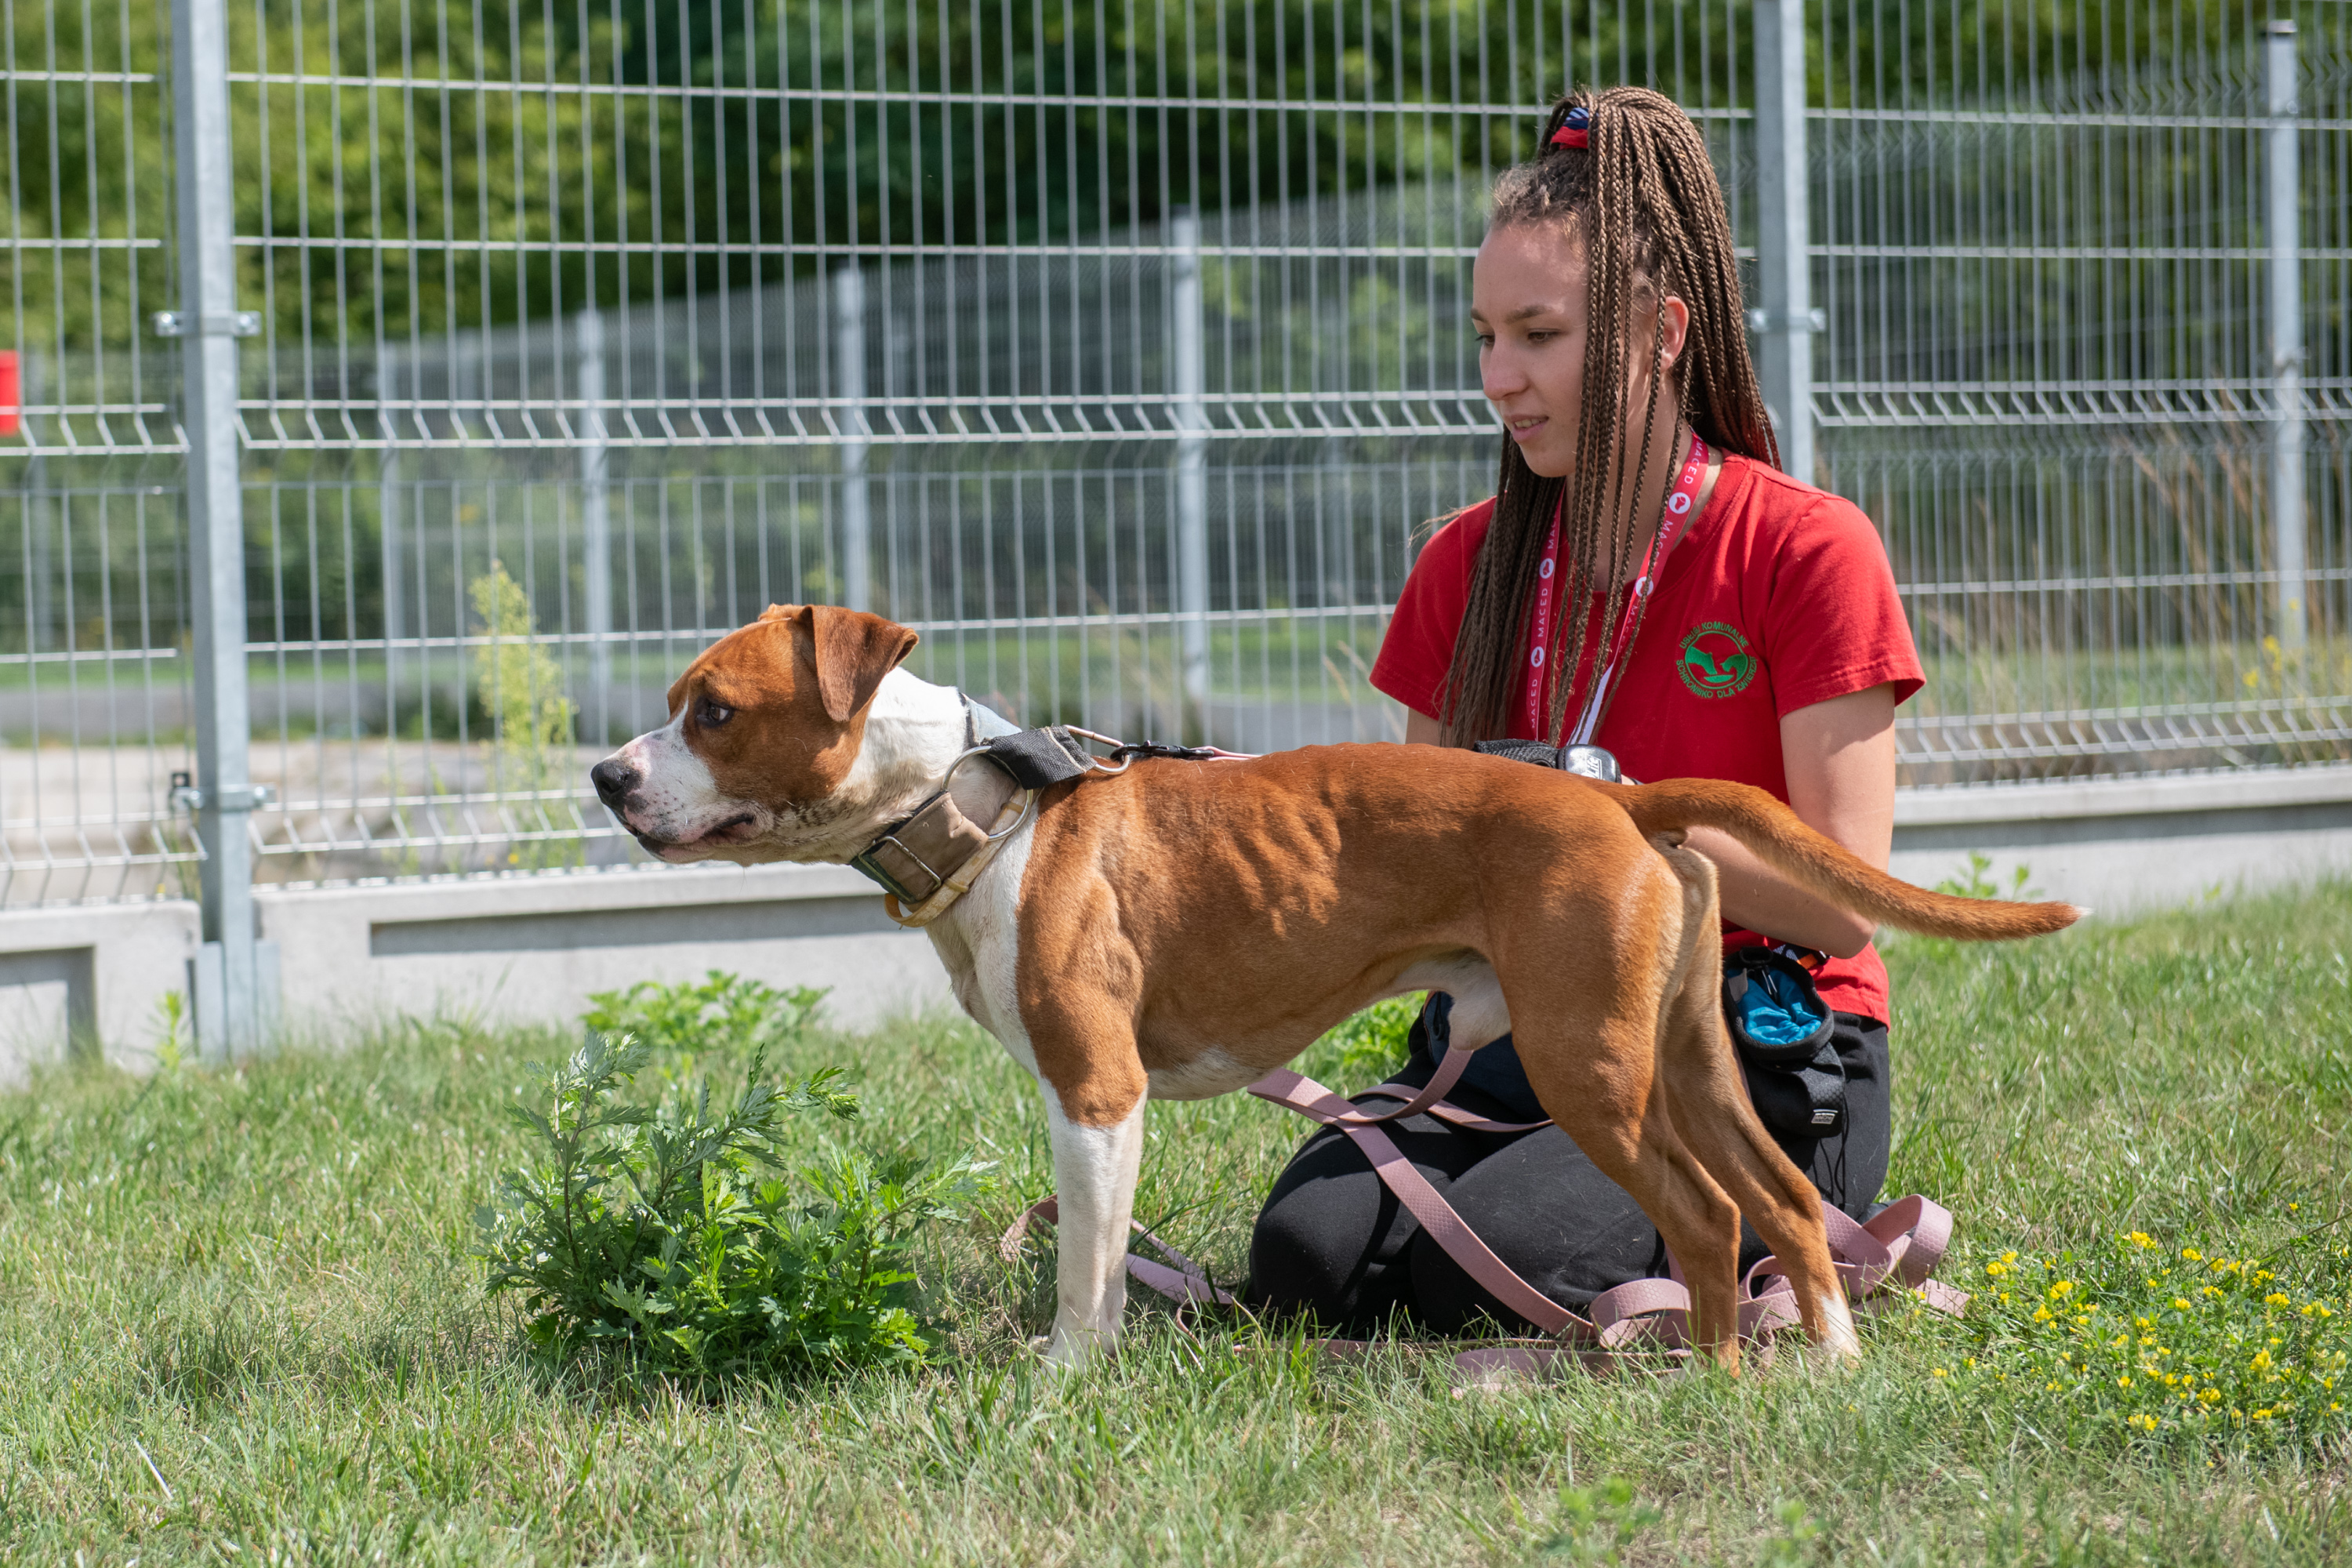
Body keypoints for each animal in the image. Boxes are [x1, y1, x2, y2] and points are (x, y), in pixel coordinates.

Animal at [588, 606, 2079, 1373]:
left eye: (712, 709)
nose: (604, 775)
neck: (981, 809)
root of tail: (1623, 802)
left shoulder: (1096, 1094)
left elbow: (1083, 1268)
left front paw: (1065, 1383)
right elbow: (1110, 1262)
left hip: (1591, 1072)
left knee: (1710, 1220)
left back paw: (1702, 1378)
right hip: (1691, 1062)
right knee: (1785, 1203)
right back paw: (1821, 1361)